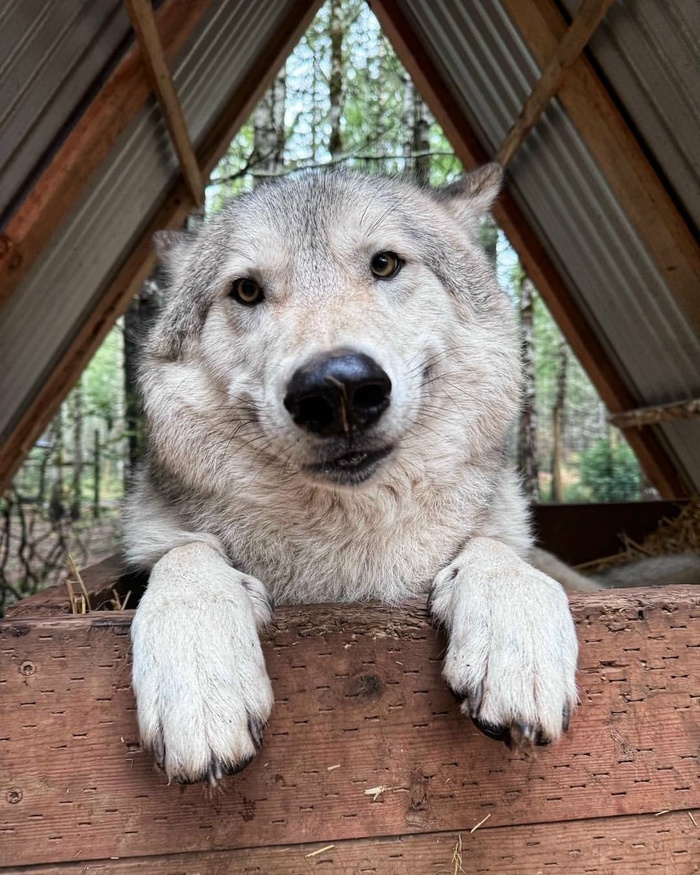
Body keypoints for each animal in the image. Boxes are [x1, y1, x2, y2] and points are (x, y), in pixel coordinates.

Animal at [123, 165, 583, 786]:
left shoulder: (498, 537)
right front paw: (197, 673)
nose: (337, 388)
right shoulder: (160, 544)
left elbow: (497, 551)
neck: (350, 550)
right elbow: (185, 556)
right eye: (246, 290)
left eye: (384, 263)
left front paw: (518, 629)